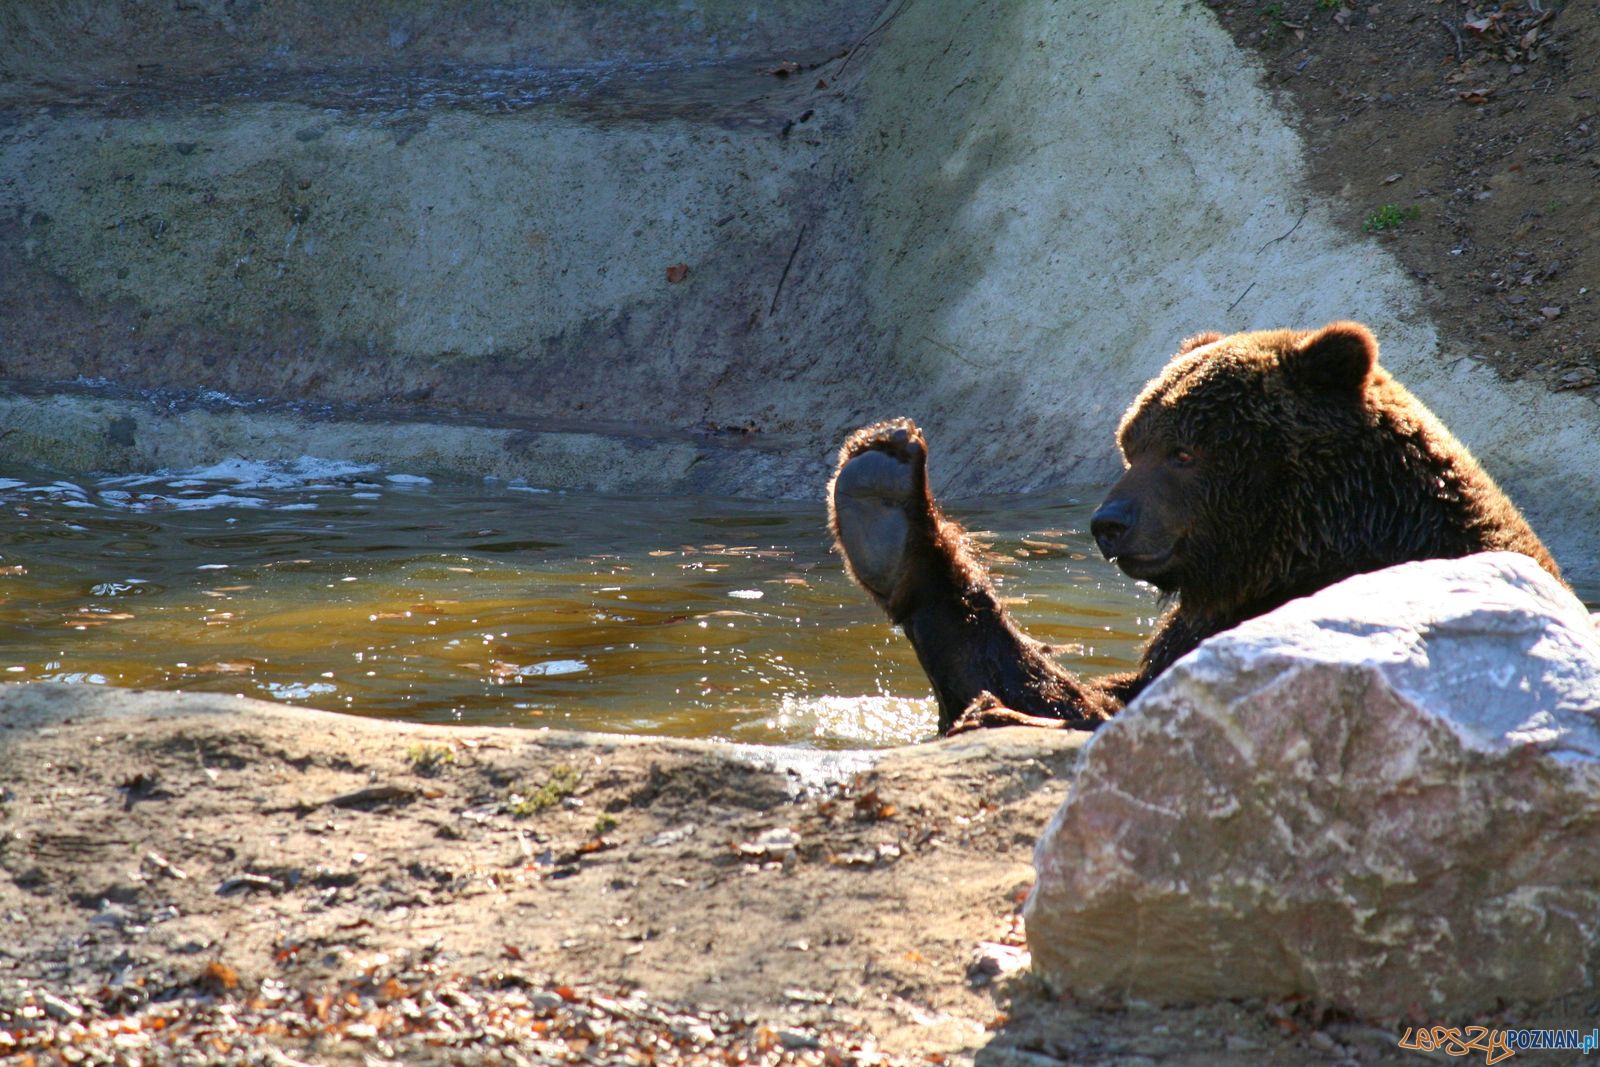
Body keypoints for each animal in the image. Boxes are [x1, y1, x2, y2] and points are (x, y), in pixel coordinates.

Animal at [832, 321, 1555, 739]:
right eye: (1131, 444)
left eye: (1182, 452)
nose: (1109, 522)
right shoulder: (1198, 625)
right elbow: (1091, 692)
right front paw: (880, 483)